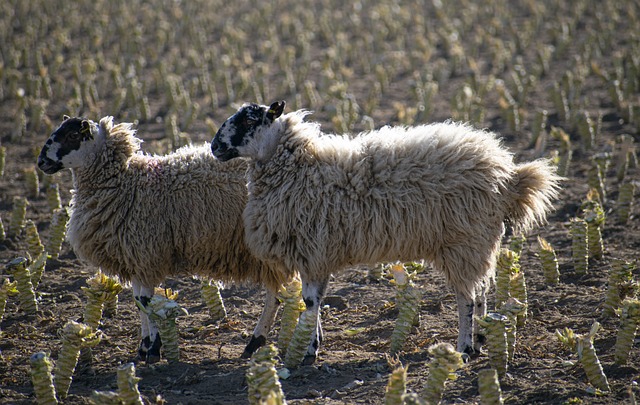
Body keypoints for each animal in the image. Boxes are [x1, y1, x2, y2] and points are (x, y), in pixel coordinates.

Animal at [37, 114, 292, 362]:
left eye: (72, 135)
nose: (40, 162)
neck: (125, 183)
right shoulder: (135, 257)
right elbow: (138, 301)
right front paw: (144, 347)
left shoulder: (146, 252)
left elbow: (146, 302)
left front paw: (153, 349)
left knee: (274, 297)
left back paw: (255, 343)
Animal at [210, 100, 560, 362]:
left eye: (249, 120)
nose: (214, 146)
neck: (299, 166)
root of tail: (507, 176)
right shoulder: (317, 255)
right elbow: (313, 300)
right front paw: (312, 341)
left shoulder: (310, 249)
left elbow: (308, 302)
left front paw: (307, 349)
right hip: (477, 242)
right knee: (482, 288)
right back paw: (480, 339)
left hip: (462, 240)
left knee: (467, 298)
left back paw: (464, 347)